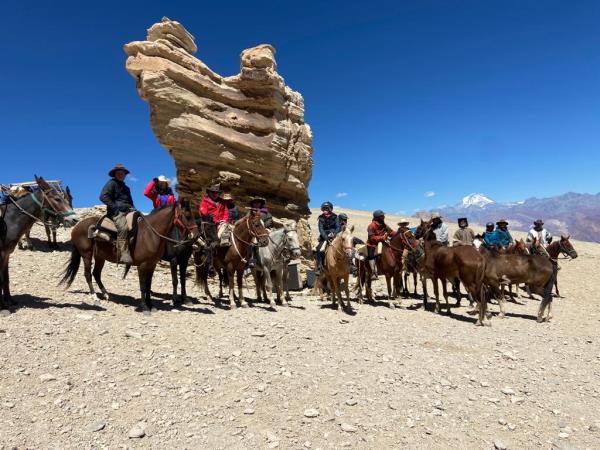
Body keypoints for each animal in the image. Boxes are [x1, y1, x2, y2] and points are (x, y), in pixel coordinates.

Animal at [0, 176, 78, 312]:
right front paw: (2, 305)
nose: (74, 219)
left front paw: (9, 301)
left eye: (69, 198)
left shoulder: (7, 254)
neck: (9, 219)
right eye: (57, 199)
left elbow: (6, 277)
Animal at [60, 202, 195, 314]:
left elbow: (149, 285)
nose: (195, 234)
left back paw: (106, 295)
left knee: (96, 274)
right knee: (88, 274)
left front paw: (151, 306)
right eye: (187, 215)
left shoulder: (152, 264)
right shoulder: (143, 265)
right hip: (86, 254)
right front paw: (145, 307)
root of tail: (77, 226)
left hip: (100, 257)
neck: (150, 234)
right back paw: (95, 297)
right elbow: (143, 286)